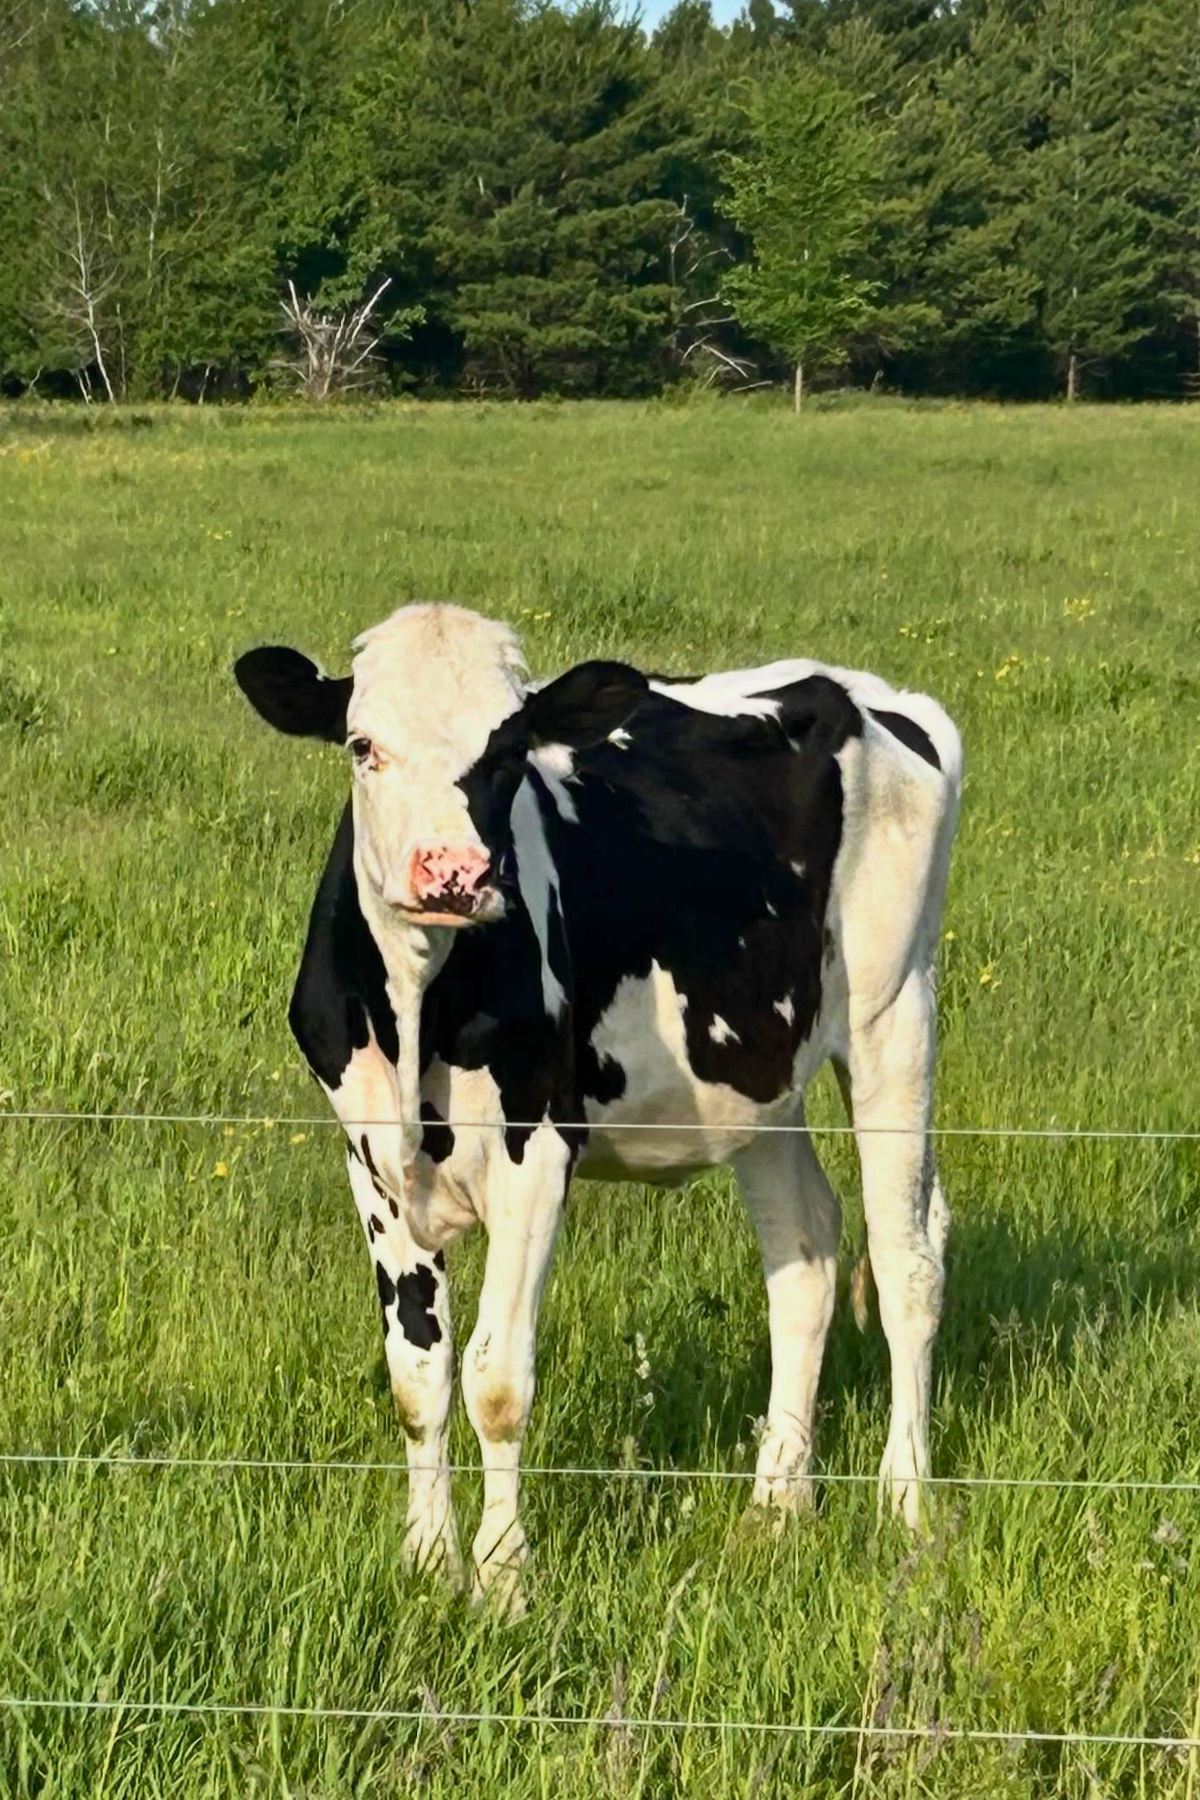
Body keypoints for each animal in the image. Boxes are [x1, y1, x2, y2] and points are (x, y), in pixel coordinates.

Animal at [235, 603, 961, 1613]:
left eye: (506, 751)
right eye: (361, 744)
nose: (450, 872)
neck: (420, 1006)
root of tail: (862, 690)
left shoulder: (538, 1144)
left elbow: (496, 1379)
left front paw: (504, 1580)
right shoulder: (368, 1159)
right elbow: (417, 1375)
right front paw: (428, 1561)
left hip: (896, 1016)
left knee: (906, 1260)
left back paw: (907, 1505)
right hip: (756, 1072)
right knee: (806, 1250)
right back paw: (776, 1507)